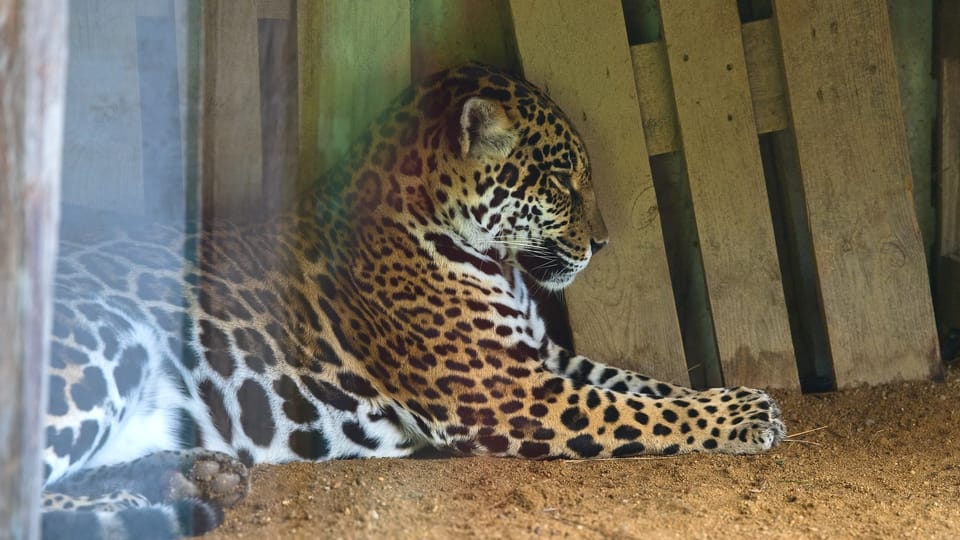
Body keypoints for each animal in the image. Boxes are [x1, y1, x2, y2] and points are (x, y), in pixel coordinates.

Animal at [41, 63, 785, 539]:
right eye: (558, 178)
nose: (602, 244)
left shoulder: (546, 362)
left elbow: (649, 386)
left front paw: (741, 399)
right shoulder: (509, 395)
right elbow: (639, 412)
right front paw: (749, 416)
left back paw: (197, 477)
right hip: (102, 339)